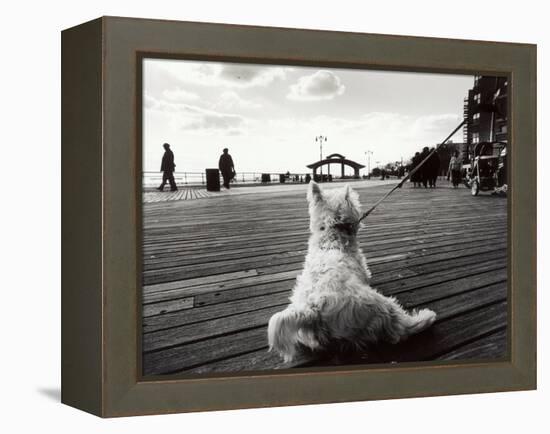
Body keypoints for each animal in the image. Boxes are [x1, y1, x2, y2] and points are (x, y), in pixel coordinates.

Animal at [270, 181, 438, 362]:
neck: (332, 233)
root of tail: (313, 308)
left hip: (310, 333)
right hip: (376, 306)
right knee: (399, 329)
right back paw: (426, 317)